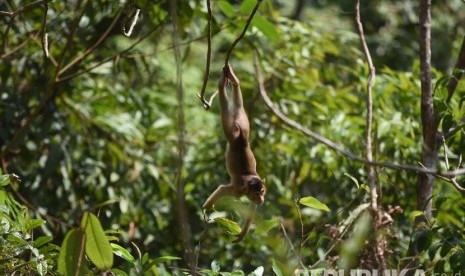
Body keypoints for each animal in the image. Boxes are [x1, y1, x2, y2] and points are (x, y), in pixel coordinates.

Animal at [202, 63, 264, 243]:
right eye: (258, 193)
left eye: (262, 192)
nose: (262, 199)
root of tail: (241, 139)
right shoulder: (237, 190)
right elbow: (223, 189)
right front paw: (207, 208)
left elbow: (252, 207)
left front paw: (242, 234)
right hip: (231, 131)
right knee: (225, 112)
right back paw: (222, 84)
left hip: (244, 124)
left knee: (238, 107)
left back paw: (234, 80)